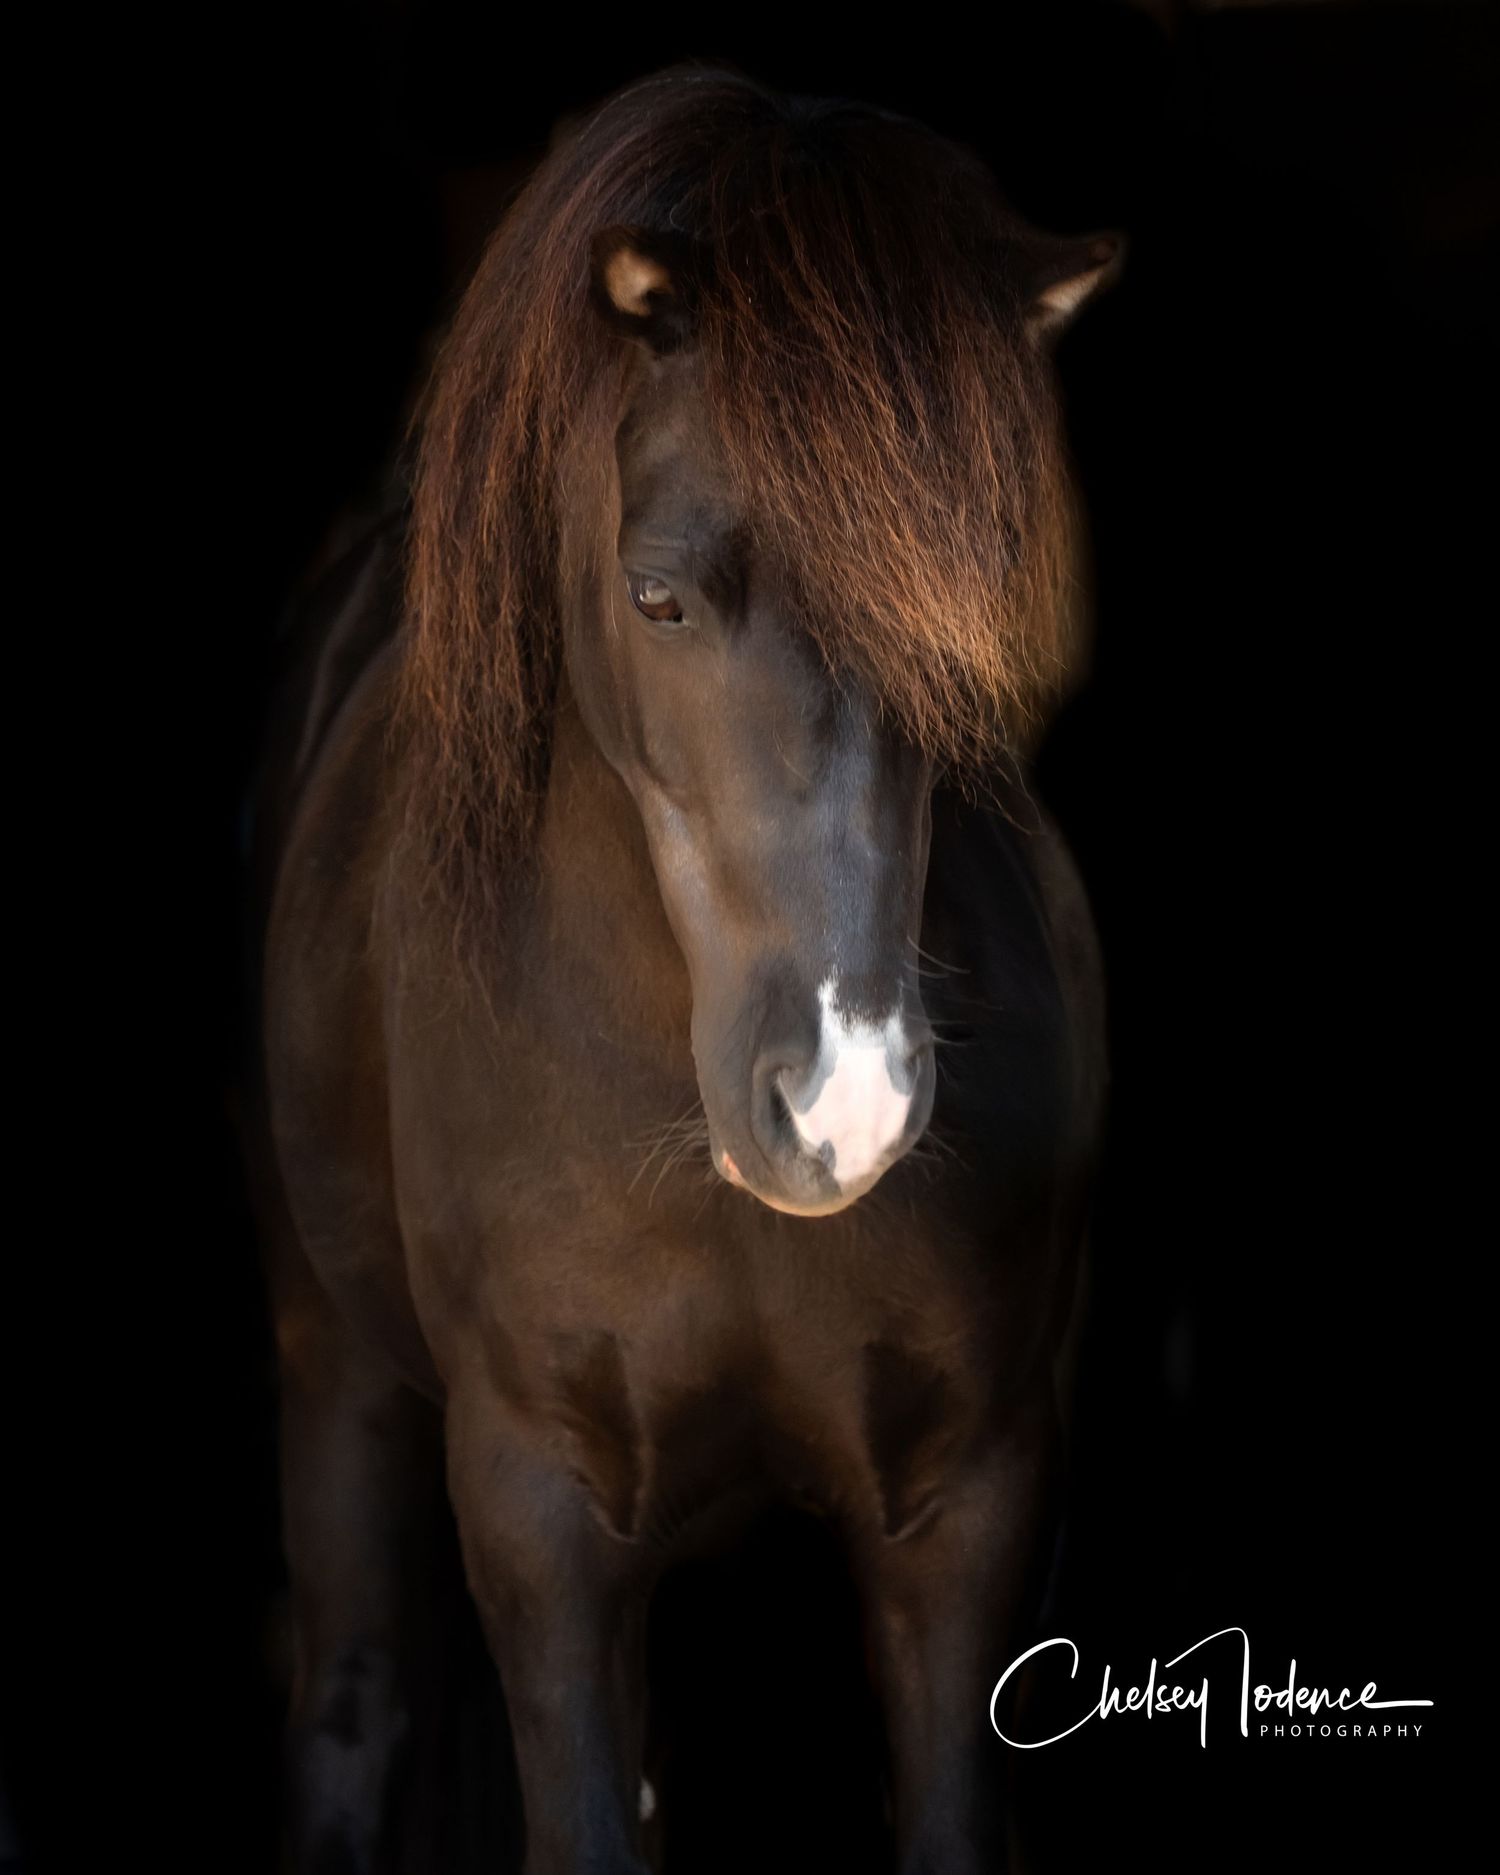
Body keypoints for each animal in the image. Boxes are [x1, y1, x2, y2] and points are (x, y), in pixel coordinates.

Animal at [246, 64, 1120, 1875]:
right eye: (657, 596)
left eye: (979, 605)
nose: (845, 1109)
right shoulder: (543, 1511)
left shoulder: (972, 1507)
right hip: (338, 1378)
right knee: (355, 1694)